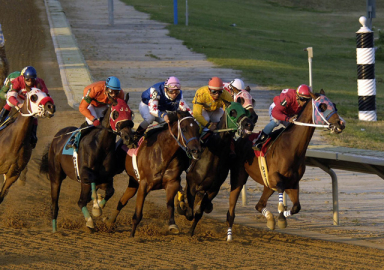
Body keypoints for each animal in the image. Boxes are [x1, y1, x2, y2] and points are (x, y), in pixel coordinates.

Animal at [40, 97, 135, 232]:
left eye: (130, 113)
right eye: (116, 113)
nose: (128, 137)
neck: (101, 146)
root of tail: (57, 136)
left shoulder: (105, 178)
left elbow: (110, 191)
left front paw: (100, 205)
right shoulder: (85, 173)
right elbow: (93, 183)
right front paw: (96, 208)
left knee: (81, 201)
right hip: (56, 176)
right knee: (57, 204)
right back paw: (55, 229)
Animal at [177, 102, 255, 236]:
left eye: (245, 111)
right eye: (233, 111)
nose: (248, 124)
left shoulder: (214, 189)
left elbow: (198, 212)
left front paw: (191, 231)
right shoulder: (192, 183)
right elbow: (190, 210)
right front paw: (183, 208)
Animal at [226, 90, 346, 240]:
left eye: (334, 105)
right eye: (322, 106)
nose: (341, 123)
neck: (291, 147)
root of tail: (238, 139)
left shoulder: (293, 183)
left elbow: (296, 207)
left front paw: (281, 218)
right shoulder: (275, 178)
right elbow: (281, 195)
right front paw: (281, 218)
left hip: (267, 185)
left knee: (259, 205)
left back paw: (270, 219)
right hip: (240, 176)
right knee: (232, 206)